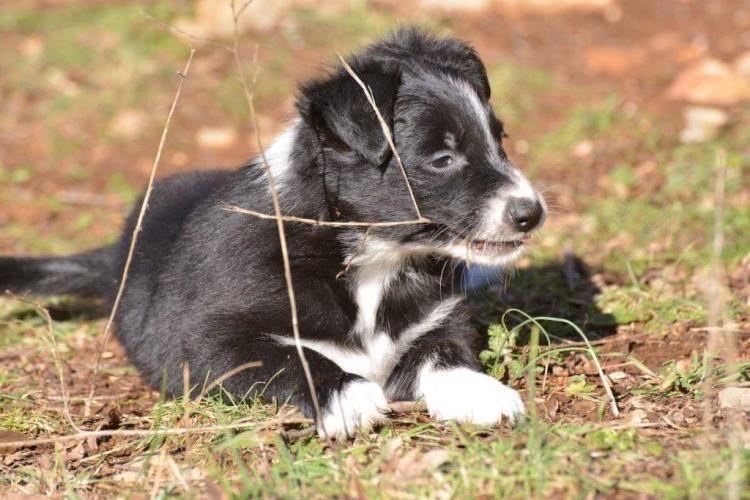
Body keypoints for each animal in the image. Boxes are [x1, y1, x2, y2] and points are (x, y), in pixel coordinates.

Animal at [2, 29, 548, 440]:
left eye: (499, 139)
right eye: (442, 159)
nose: (532, 214)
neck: (372, 257)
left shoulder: (440, 317)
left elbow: (445, 351)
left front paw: (480, 392)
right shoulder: (204, 341)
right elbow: (288, 356)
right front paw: (347, 395)